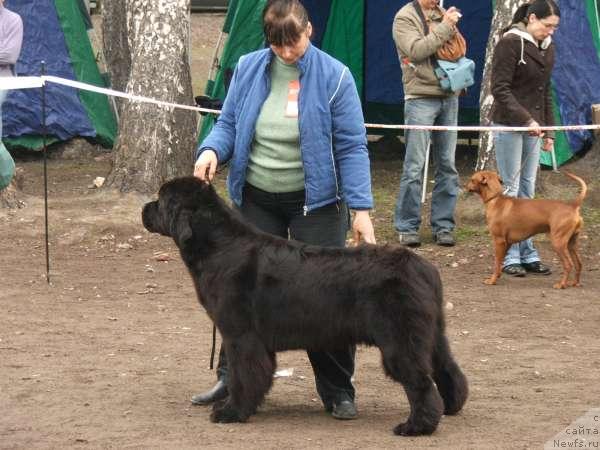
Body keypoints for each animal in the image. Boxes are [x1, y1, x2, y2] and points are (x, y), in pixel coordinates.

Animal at [142, 177, 468, 436]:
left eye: (162, 199)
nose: (144, 208)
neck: (219, 246)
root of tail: (424, 267)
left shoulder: (241, 336)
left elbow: (242, 375)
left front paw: (231, 411)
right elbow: (255, 375)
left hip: (400, 340)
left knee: (420, 382)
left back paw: (416, 427)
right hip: (432, 334)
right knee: (447, 368)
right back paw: (451, 406)